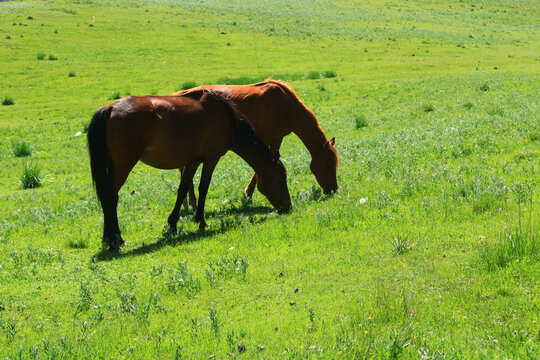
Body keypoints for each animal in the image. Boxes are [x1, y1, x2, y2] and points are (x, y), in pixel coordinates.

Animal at [87, 89, 292, 250]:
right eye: (281, 178)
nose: (288, 207)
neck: (226, 117)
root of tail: (110, 109)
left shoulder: (192, 161)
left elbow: (183, 189)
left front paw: (173, 225)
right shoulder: (211, 159)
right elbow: (203, 187)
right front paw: (200, 220)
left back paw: (109, 239)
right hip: (123, 167)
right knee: (110, 197)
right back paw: (115, 240)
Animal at [175, 79, 340, 211]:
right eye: (328, 165)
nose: (333, 190)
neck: (285, 105)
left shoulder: (278, 137)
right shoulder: (265, 136)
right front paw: (247, 194)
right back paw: (191, 203)